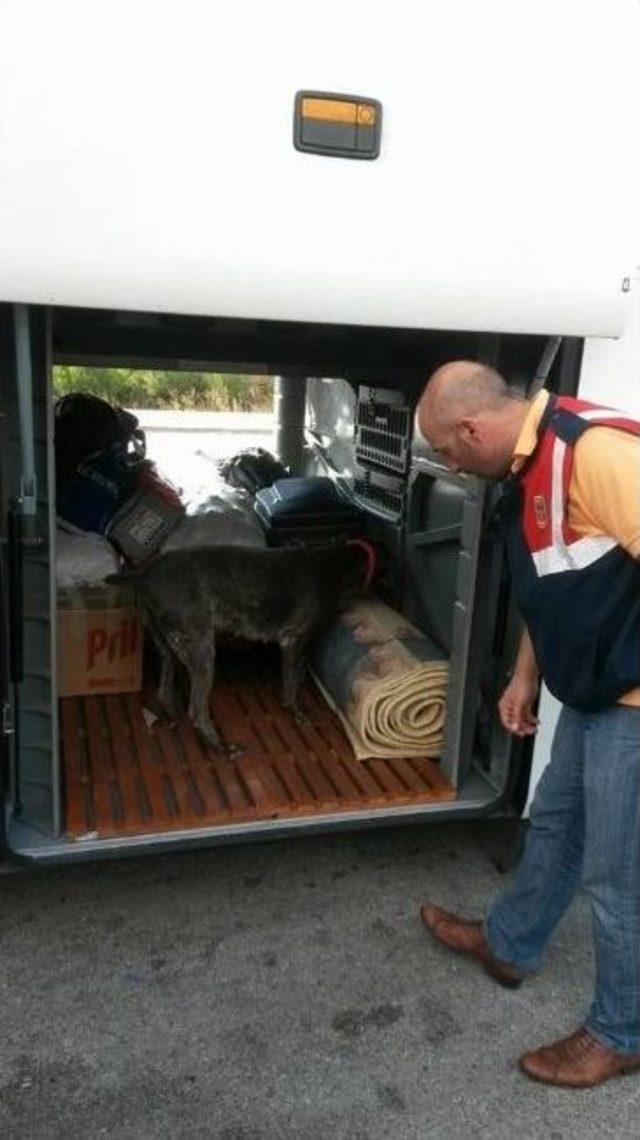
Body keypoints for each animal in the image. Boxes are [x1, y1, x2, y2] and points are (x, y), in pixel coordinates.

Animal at [106, 540, 374, 752]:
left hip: (166, 645)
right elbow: (290, 685)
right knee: (197, 712)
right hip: (201, 648)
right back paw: (222, 748)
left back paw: (173, 718)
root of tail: (147, 573)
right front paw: (297, 711)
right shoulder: (293, 640)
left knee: (163, 691)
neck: (337, 563)